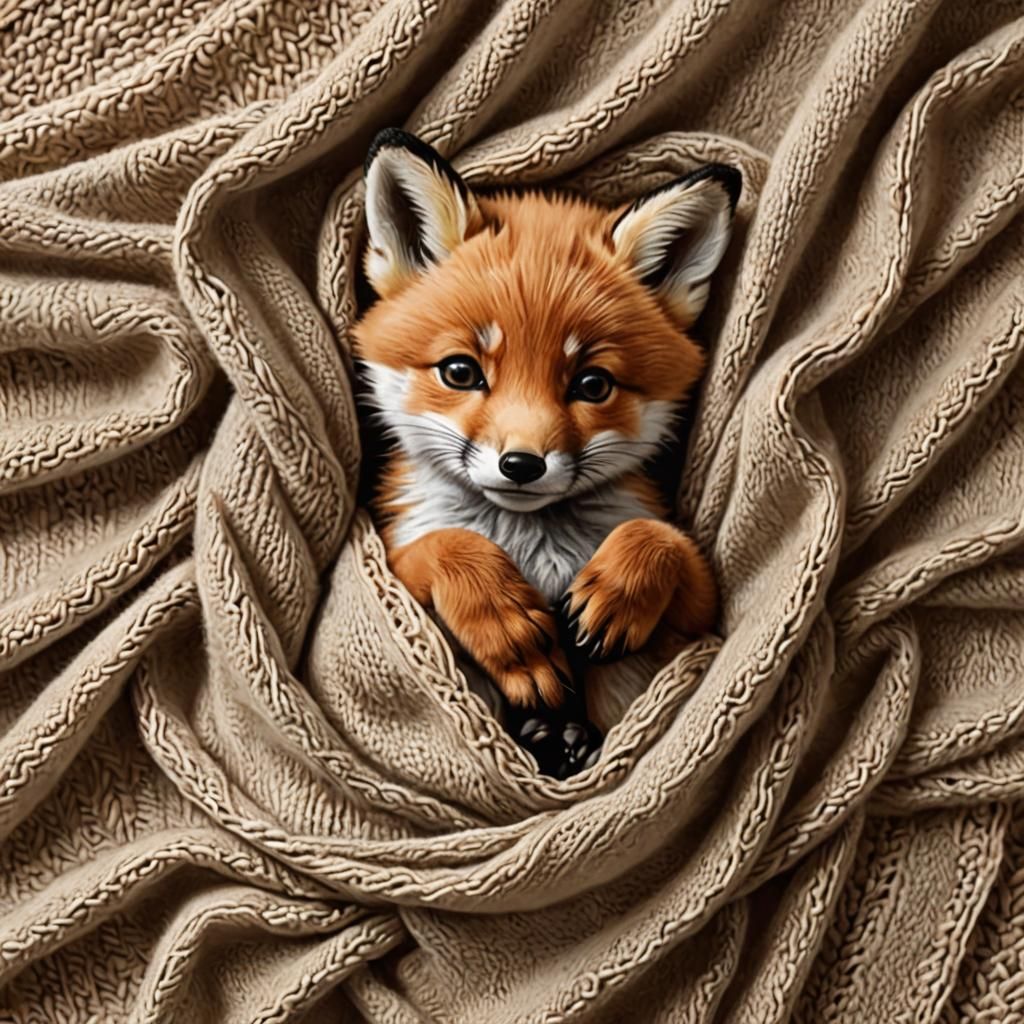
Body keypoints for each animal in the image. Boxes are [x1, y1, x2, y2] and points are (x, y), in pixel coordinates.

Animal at [353, 128, 739, 730]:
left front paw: (614, 595)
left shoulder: (696, 625)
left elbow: (663, 538)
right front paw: (509, 630)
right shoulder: (396, 569)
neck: (531, 544)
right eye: (460, 372)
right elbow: (448, 544)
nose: (521, 465)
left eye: (593, 385)